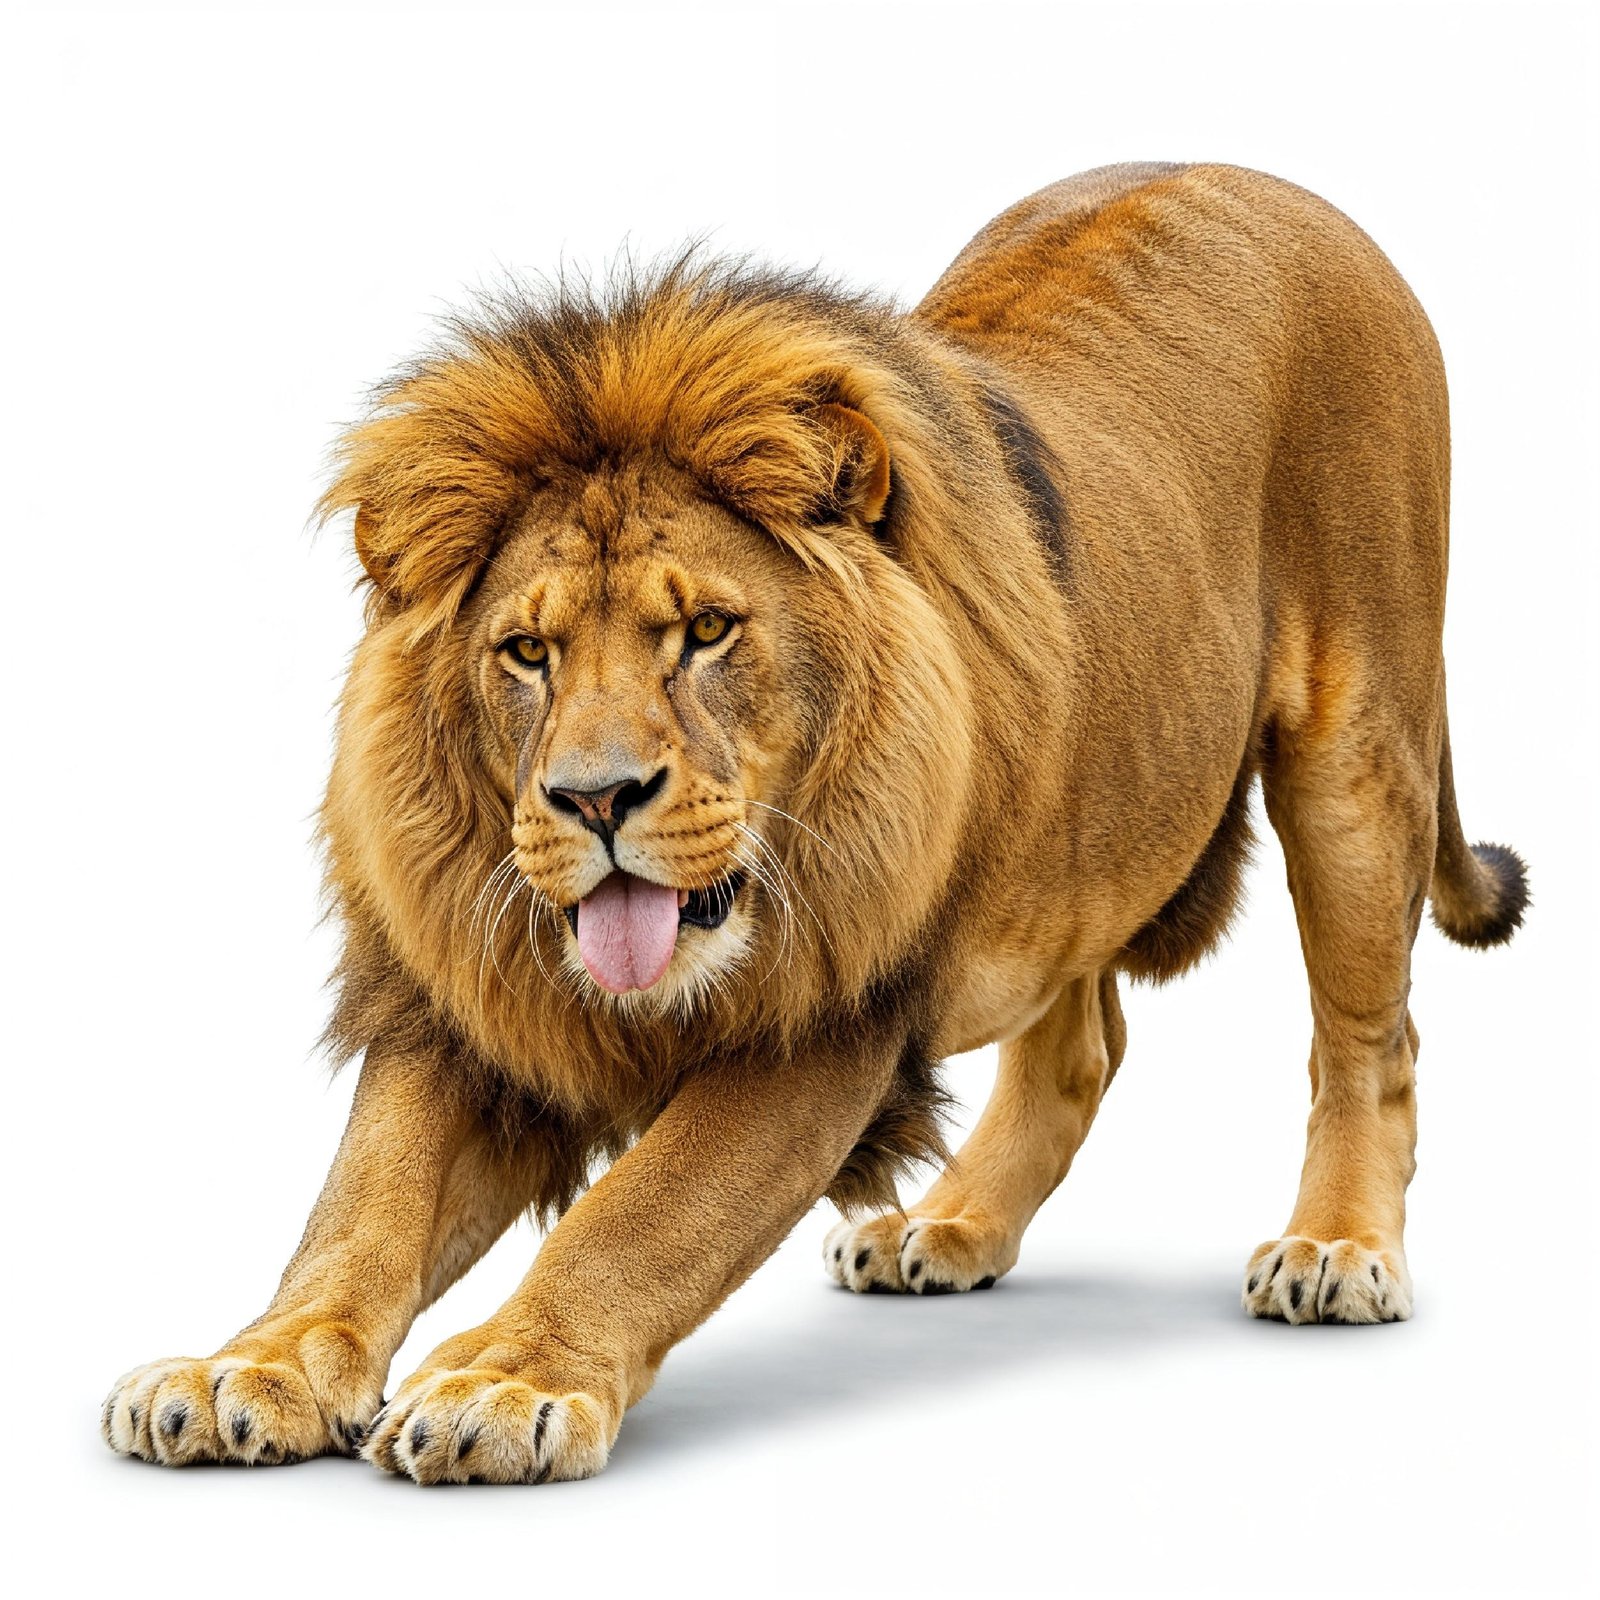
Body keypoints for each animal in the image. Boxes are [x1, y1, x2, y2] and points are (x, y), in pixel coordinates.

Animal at [102, 162, 1527, 1484]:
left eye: (704, 630)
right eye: (527, 653)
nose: (595, 798)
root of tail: (1272, 182)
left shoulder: (825, 1017)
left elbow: (643, 1211)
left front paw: (504, 1381)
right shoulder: (474, 1001)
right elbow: (361, 1202)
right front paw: (247, 1366)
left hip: (1354, 755)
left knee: (1369, 1036)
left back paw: (1336, 1246)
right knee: (1081, 1042)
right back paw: (945, 1227)